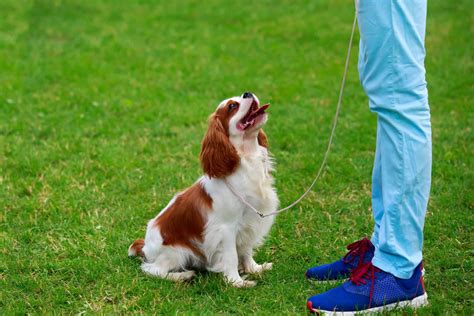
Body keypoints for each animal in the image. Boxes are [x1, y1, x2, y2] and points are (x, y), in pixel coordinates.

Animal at [128, 91, 280, 286]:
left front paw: (254, 269)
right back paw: (183, 275)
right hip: (178, 252)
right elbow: (231, 257)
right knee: (152, 270)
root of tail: (145, 247)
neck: (247, 159)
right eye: (232, 106)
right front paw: (236, 282)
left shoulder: (249, 222)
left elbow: (246, 250)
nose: (248, 93)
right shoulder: (226, 228)